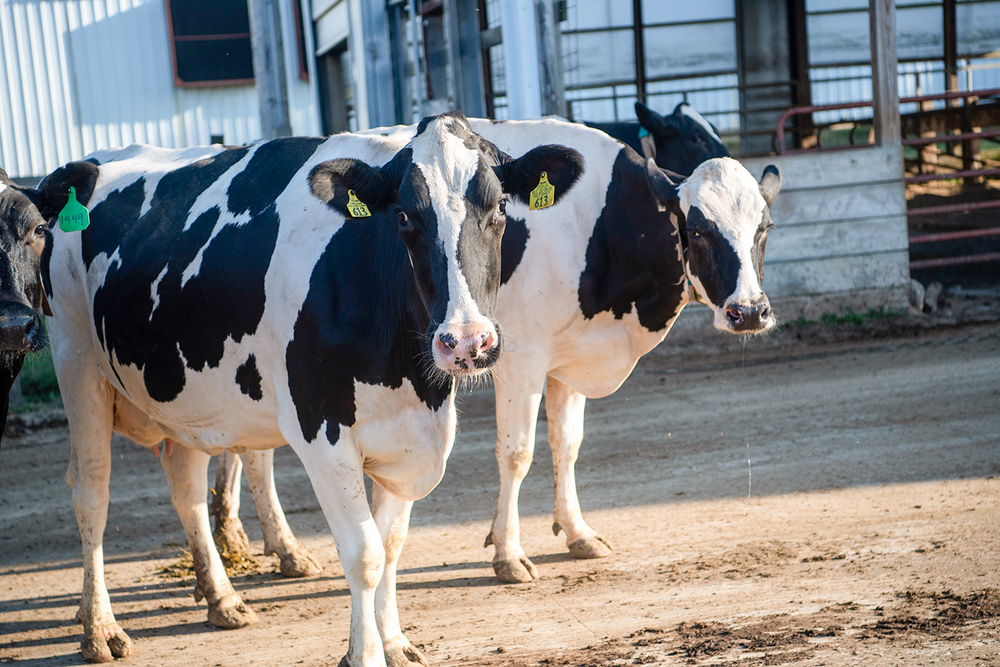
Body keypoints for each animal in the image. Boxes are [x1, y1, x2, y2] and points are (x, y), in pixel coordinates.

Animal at [42, 112, 584, 665]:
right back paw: (100, 628)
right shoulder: (322, 432)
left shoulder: (408, 436)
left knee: (185, 484)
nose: (467, 341)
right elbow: (365, 553)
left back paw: (222, 598)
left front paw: (393, 641)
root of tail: (83, 166)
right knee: (92, 492)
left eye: (500, 207)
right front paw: (364, 654)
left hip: (185, 393)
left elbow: (392, 543)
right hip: (76, 360)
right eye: (405, 217)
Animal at [208, 117, 780, 586]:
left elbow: (566, 444)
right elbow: (517, 452)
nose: (750, 311)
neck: (594, 221)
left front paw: (577, 532)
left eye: (764, 228)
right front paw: (507, 553)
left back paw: (268, 546)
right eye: (699, 230)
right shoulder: (521, 357)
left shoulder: (565, 359)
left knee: (252, 448)